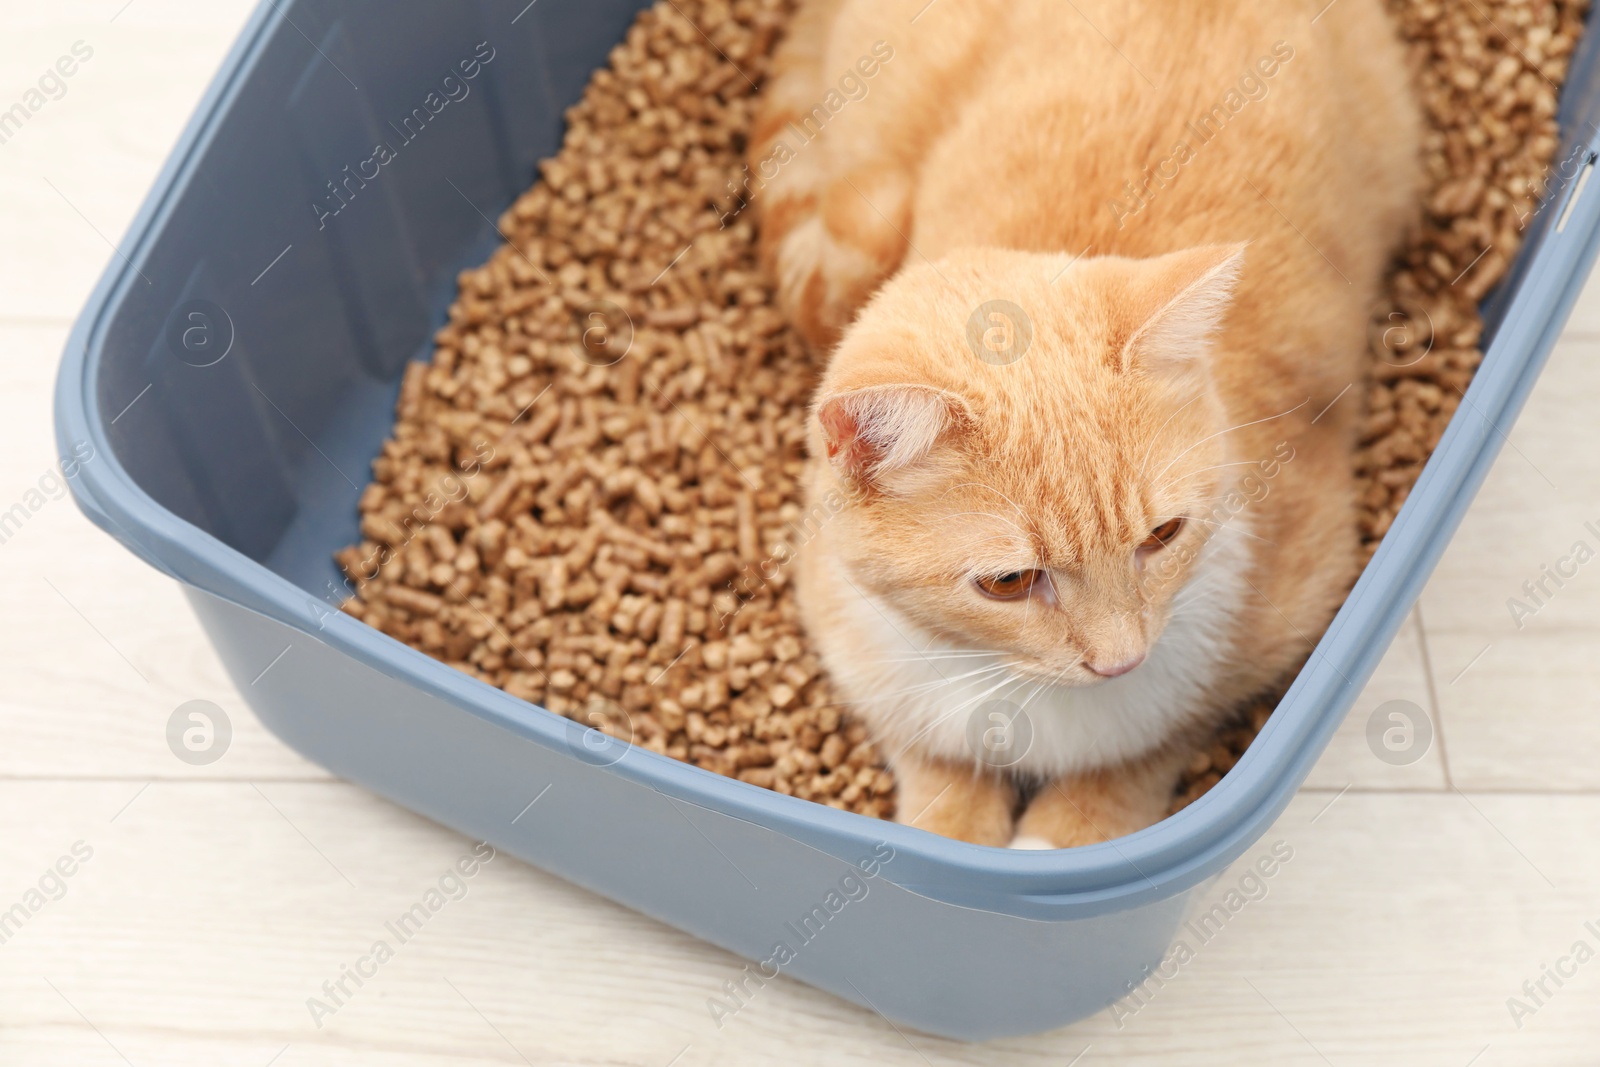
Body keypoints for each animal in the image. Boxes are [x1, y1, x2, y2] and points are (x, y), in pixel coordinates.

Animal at [742, 0, 1420, 851]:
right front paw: (958, 835)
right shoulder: (850, 629)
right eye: (1007, 582)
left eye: (1164, 535)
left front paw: (1064, 831)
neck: (1010, 686)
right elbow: (937, 775)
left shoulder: (1299, 581)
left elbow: (1147, 749)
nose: (1120, 661)